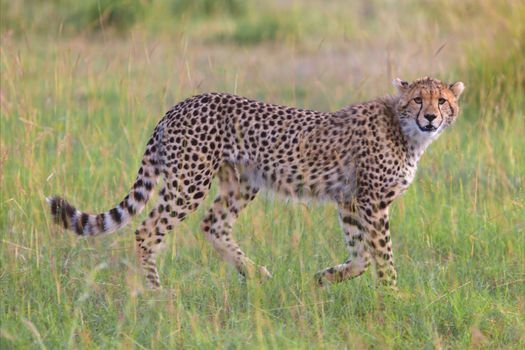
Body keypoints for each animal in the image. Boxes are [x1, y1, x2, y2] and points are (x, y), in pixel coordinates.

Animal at [46, 77, 462, 290]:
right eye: (418, 99)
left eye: (442, 100)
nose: (430, 116)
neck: (406, 131)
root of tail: (179, 105)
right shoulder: (372, 202)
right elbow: (383, 256)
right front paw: (392, 297)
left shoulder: (349, 200)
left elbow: (361, 256)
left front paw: (325, 277)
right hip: (189, 181)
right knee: (148, 230)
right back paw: (155, 291)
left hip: (243, 182)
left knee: (213, 225)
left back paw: (254, 273)